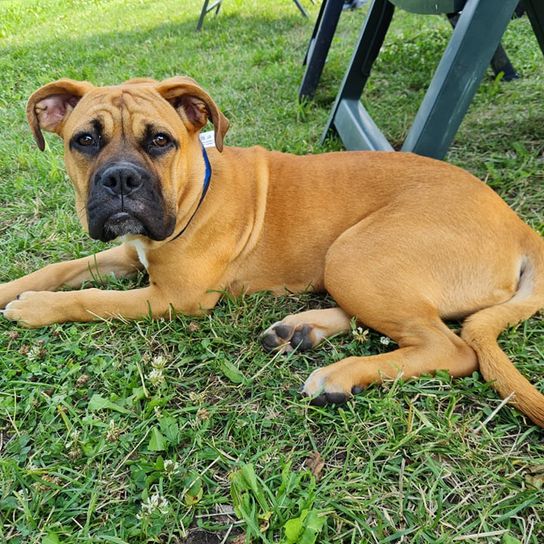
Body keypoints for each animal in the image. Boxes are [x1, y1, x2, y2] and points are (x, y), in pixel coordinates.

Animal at [1, 76, 544, 424]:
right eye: (84, 140)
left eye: (159, 140)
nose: (119, 180)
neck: (196, 188)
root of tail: (520, 226)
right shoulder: (128, 251)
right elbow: (62, 268)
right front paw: (15, 287)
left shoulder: (174, 296)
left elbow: (92, 298)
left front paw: (35, 308)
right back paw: (300, 330)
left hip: (354, 254)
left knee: (451, 348)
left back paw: (339, 375)